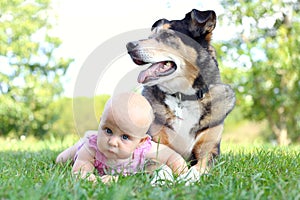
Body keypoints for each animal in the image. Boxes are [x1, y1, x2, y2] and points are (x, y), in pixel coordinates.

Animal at [125, 9, 236, 175]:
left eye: (167, 36)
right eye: (150, 37)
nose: (129, 45)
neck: (183, 97)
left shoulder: (209, 151)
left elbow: (198, 169)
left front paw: (189, 178)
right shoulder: (154, 144)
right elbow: (157, 165)